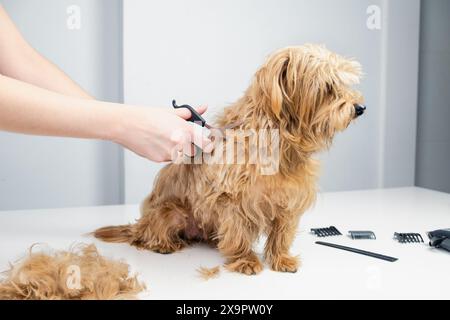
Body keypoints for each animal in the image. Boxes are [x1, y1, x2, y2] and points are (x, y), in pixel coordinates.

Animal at [93, 44, 364, 276]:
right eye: (328, 87)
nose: (360, 108)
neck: (278, 139)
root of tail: (139, 224)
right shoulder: (234, 200)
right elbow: (239, 230)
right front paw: (245, 260)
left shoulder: (289, 199)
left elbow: (281, 232)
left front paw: (281, 258)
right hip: (172, 212)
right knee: (148, 235)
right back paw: (163, 244)